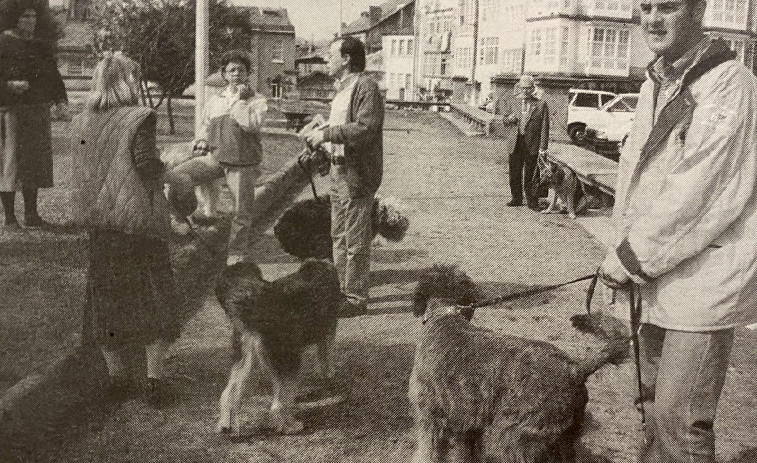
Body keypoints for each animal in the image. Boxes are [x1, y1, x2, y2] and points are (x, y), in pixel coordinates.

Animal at [214, 260, 342, 436]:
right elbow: (326, 358)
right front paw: (329, 374)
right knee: (278, 405)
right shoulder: (327, 331)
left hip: (243, 361)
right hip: (290, 362)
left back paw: (225, 425)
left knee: (228, 394)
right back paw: (290, 426)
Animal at [410, 264, 628, 463]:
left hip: (515, 439)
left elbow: (428, 451)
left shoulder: (429, 413)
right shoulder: (468, 423)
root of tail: (576, 369)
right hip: (562, 441)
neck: (446, 316)